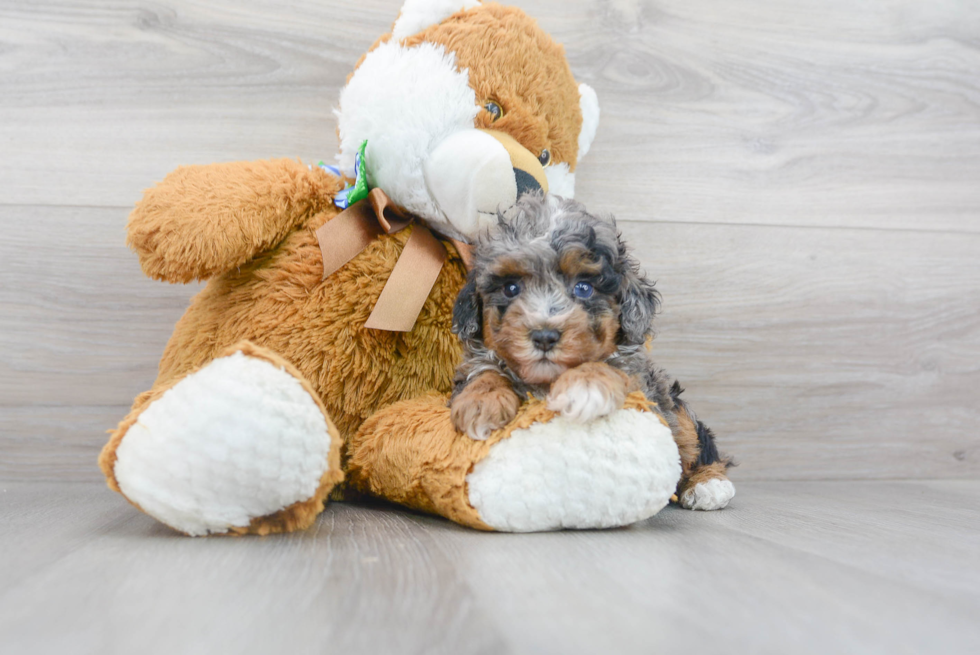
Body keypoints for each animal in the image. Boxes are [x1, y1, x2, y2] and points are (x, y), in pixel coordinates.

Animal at [448, 192, 732, 510]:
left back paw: (709, 484)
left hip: (676, 406)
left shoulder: (641, 383)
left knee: (697, 442)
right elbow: (484, 371)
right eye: (511, 288)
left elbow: (608, 366)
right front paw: (481, 401)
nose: (544, 336)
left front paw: (585, 385)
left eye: (583, 288)